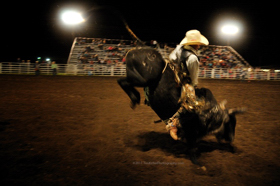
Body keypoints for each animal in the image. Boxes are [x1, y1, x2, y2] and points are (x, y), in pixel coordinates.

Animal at [117, 47, 245, 164]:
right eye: (230, 123)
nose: (231, 139)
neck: (209, 113)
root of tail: (135, 50)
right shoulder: (191, 131)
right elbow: (192, 147)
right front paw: (197, 162)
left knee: (122, 80)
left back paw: (134, 99)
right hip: (144, 79)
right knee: (122, 81)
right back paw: (135, 98)